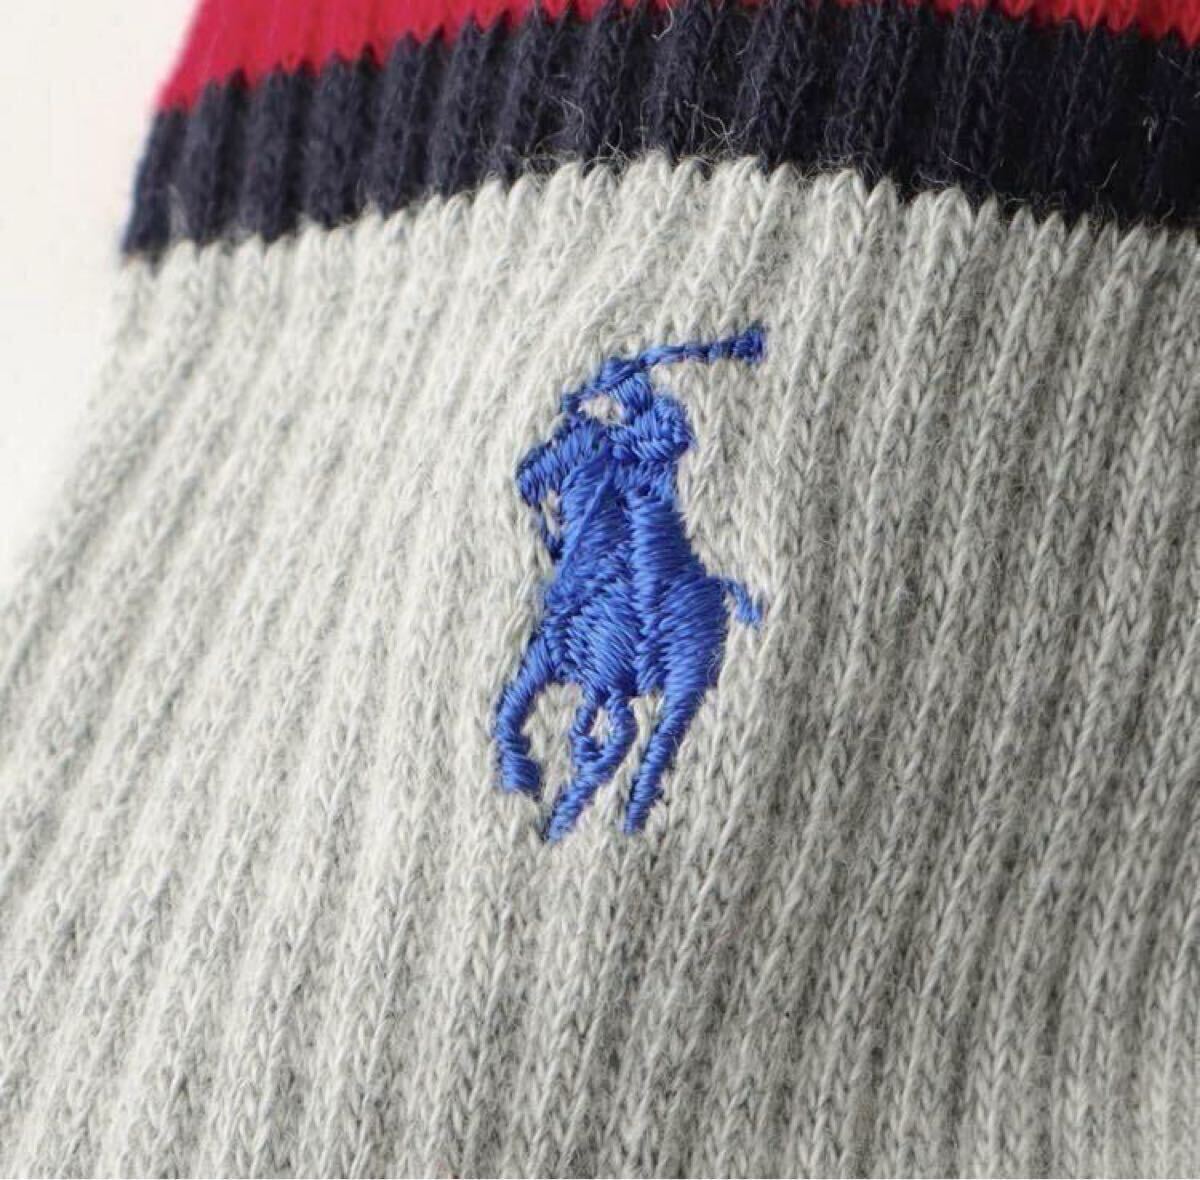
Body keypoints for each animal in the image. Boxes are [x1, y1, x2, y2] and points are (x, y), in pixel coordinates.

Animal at [494, 326, 765, 841]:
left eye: (566, 441)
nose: (524, 478)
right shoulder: (570, 667)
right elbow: (514, 712)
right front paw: (527, 778)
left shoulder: (566, 662)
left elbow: (517, 712)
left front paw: (530, 782)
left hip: (682, 683)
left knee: (650, 748)